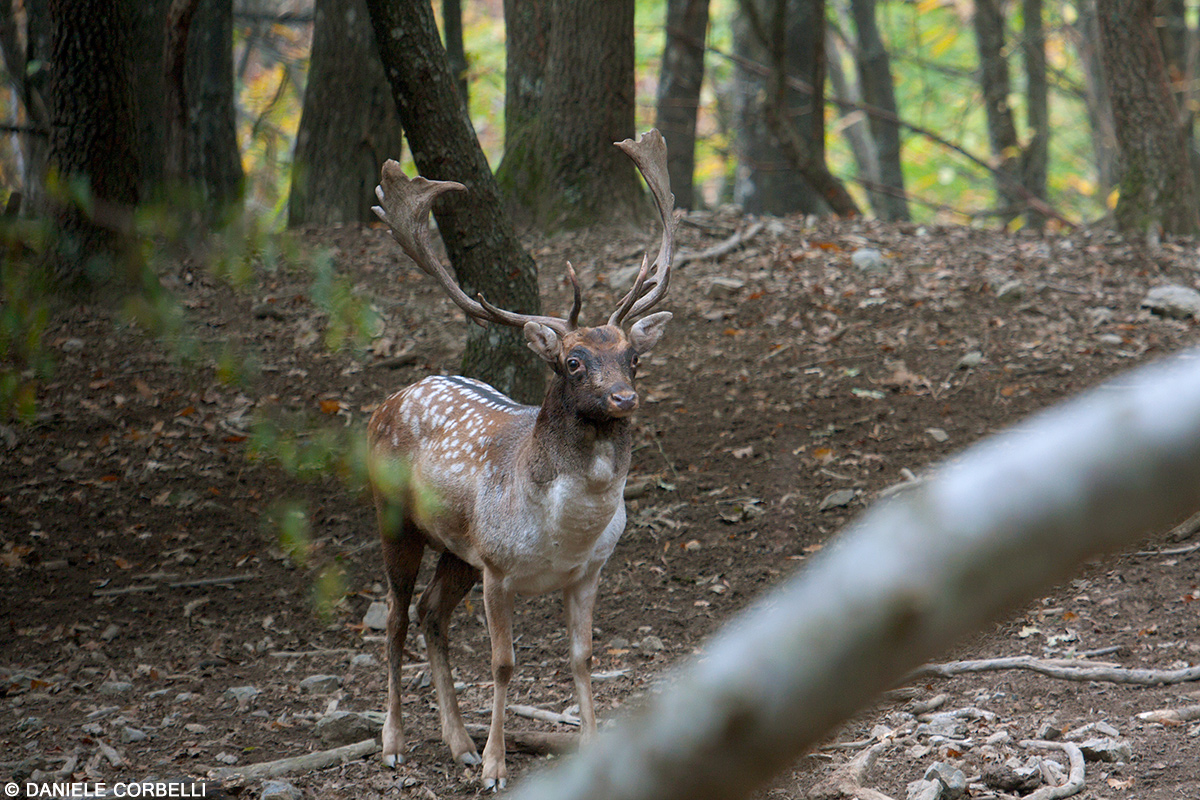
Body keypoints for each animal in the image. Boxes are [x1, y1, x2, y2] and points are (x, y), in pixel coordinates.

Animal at [364, 130, 676, 786]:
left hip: (458, 548)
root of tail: (386, 403)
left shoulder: (587, 571)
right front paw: (494, 768)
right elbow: (504, 664)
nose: (624, 398)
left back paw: (456, 742)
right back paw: (395, 743)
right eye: (574, 361)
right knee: (397, 618)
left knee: (432, 614)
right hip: (394, 517)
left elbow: (582, 658)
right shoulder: (499, 568)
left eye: (634, 357)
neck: (565, 532)